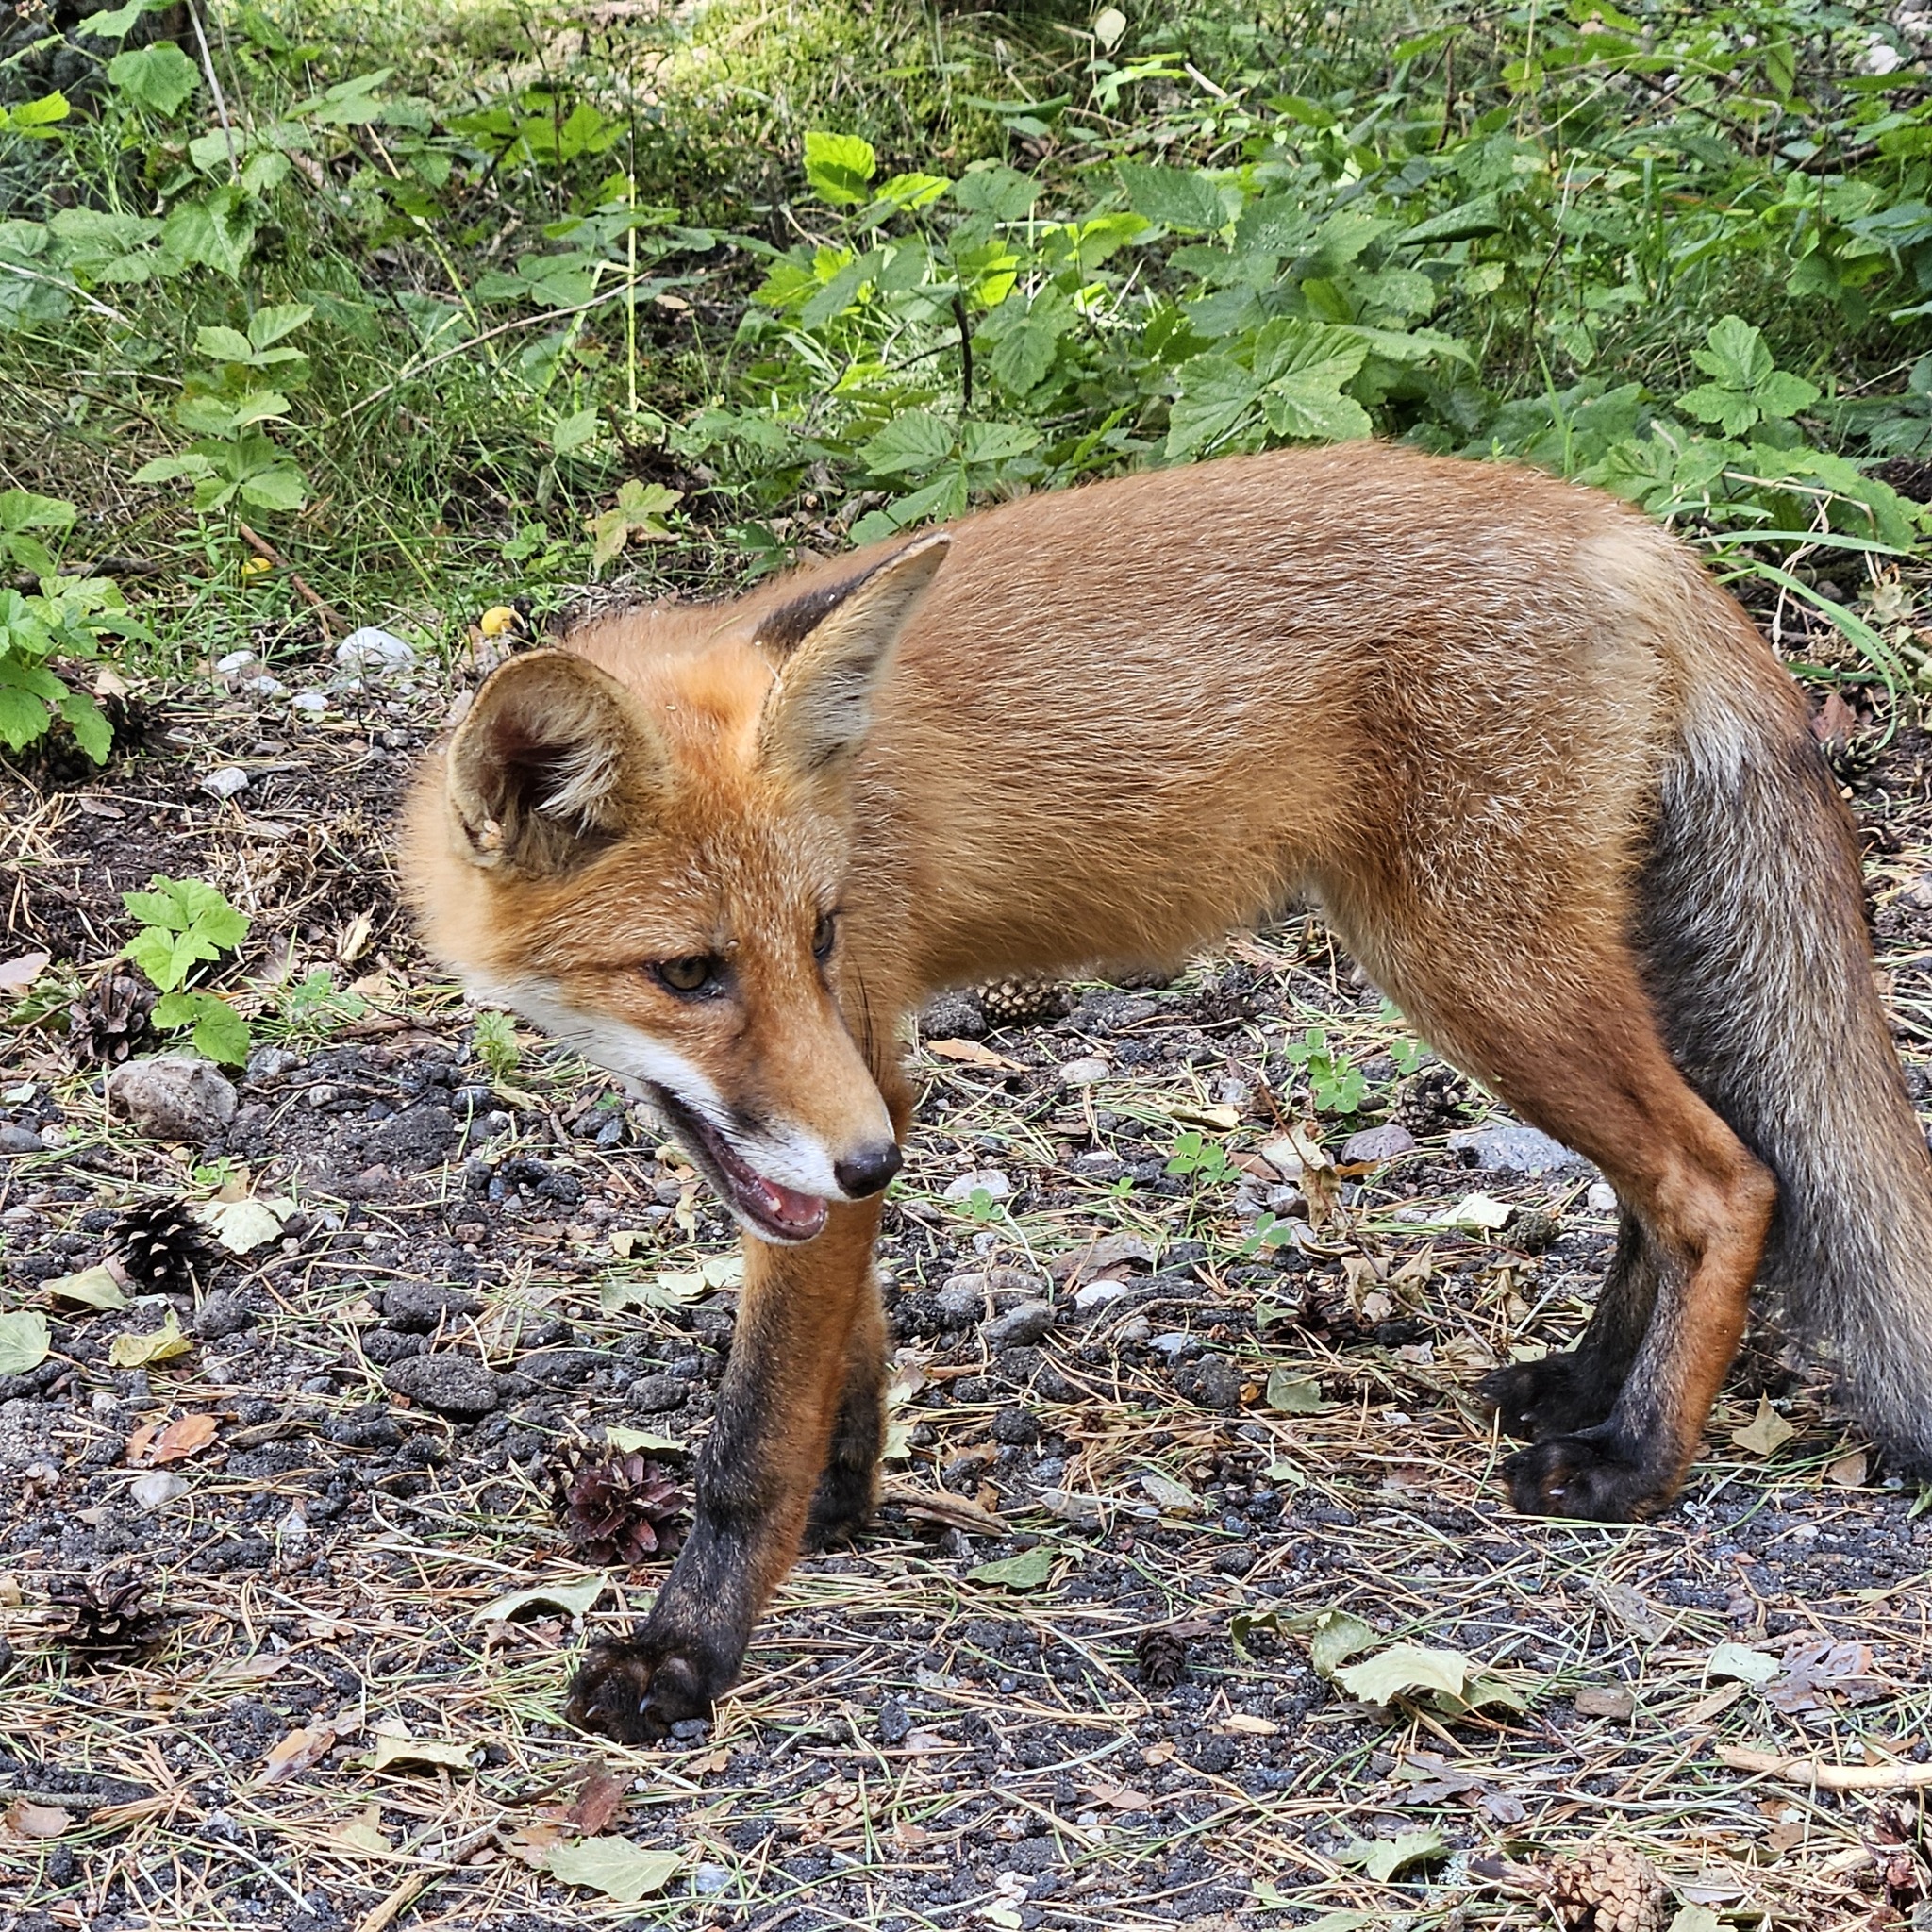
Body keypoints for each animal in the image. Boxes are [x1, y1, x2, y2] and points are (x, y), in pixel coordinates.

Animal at [404, 444, 1932, 1746]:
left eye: (819, 937)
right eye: (691, 973)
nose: (874, 1166)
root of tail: (1623, 526)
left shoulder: (866, 1066)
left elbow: (752, 1435)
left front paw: (687, 1649)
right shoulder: (855, 1099)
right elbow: (850, 1342)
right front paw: (847, 1499)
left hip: (1473, 972)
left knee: (1725, 1179)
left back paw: (1635, 1461)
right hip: (1528, 975)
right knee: (1654, 1186)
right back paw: (1582, 1388)